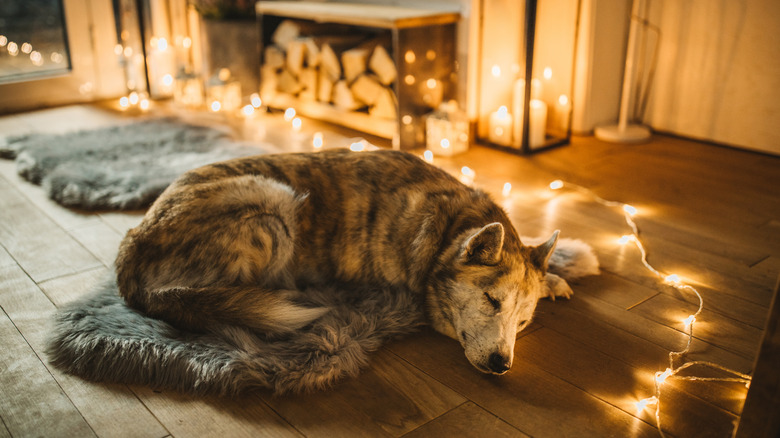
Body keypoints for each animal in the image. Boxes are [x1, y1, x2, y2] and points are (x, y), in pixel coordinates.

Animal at [117, 149, 572, 374]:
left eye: (523, 323)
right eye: (491, 301)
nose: (501, 365)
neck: (449, 227)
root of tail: (133, 244)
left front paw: (556, 277)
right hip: (276, 206)